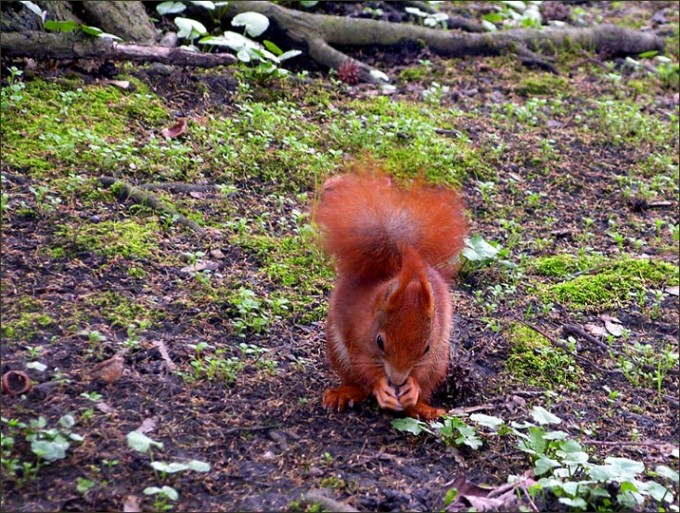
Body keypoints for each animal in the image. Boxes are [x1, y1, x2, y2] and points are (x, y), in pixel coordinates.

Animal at [312, 165, 468, 420]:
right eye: (379, 341)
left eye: (425, 348)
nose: (397, 380)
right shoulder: (358, 335)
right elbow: (364, 367)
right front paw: (381, 388)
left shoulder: (433, 350)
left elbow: (420, 374)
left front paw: (411, 388)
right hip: (337, 349)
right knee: (357, 383)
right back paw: (344, 393)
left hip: (439, 362)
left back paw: (422, 408)